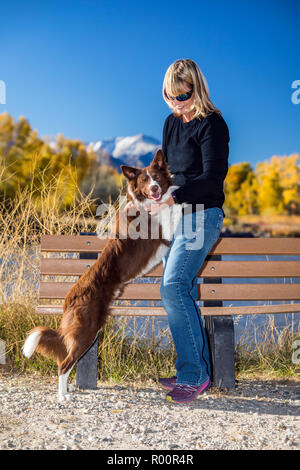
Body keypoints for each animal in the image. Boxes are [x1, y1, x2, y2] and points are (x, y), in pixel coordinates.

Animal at [22, 151, 182, 400]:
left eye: (156, 177)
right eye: (144, 181)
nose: (155, 188)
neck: (147, 205)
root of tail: (69, 299)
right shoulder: (163, 232)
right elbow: (177, 211)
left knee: (66, 359)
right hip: (87, 330)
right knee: (64, 363)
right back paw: (62, 396)